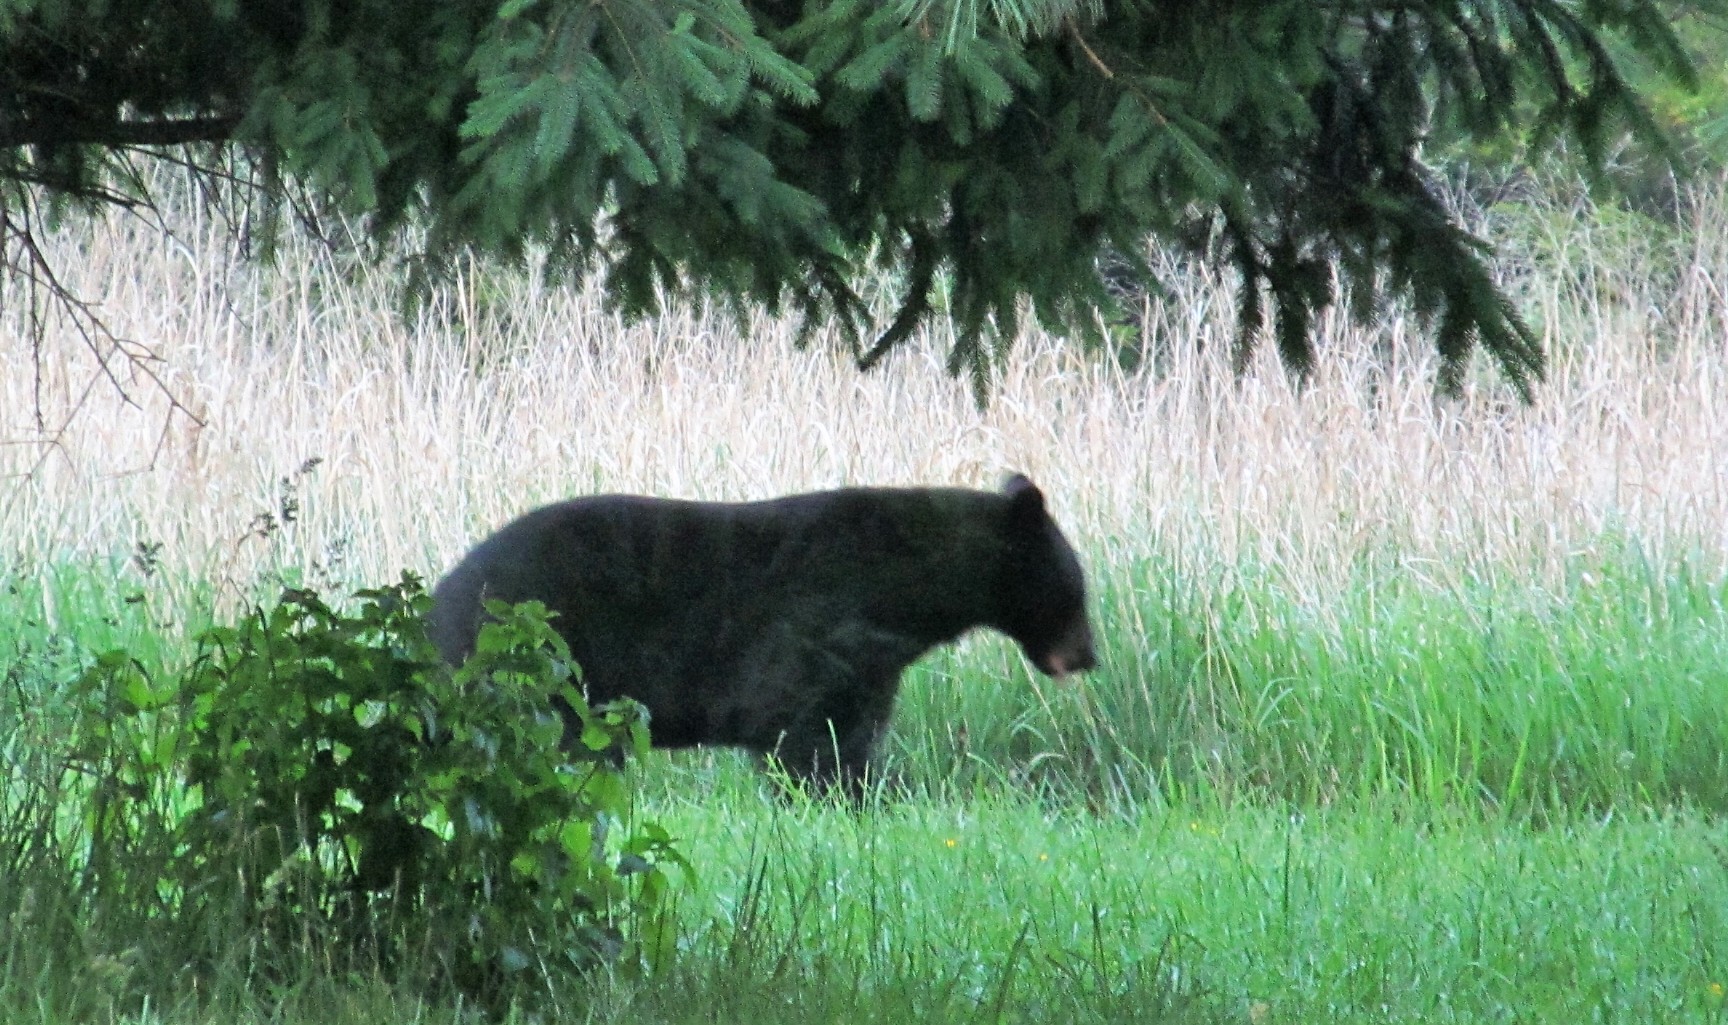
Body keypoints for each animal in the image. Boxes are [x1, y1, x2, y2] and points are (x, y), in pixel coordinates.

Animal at [427, 474, 1096, 799]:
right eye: (1078, 587)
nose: (1089, 655)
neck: (908, 583)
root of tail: (440, 597)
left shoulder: (874, 660)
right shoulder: (823, 630)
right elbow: (812, 731)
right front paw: (846, 798)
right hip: (536, 656)